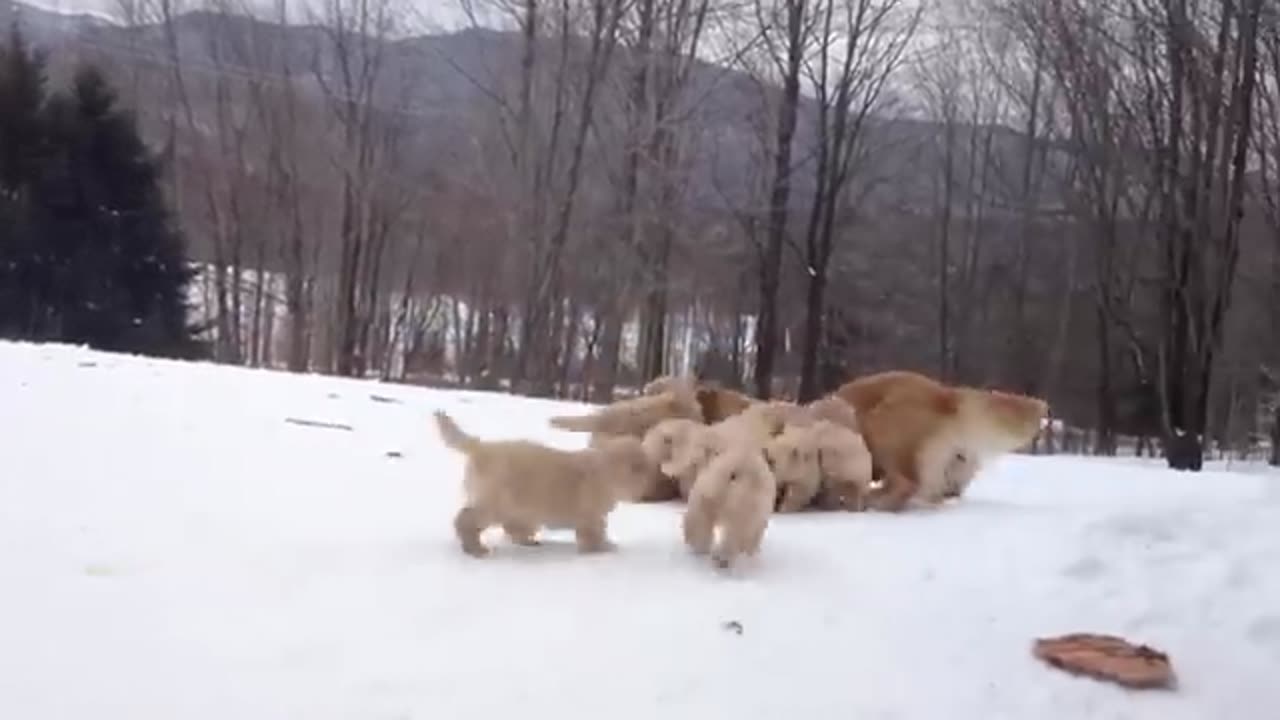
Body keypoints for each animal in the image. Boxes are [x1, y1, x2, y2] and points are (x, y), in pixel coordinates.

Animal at [440, 409, 660, 556]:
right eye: (643, 473)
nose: (646, 490)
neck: (604, 471)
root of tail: (480, 446)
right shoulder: (591, 516)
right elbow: (595, 533)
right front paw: (603, 548)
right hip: (494, 503)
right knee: (465, 520)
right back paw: (476, 549)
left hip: (517, 507)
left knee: (511, 526)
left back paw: (527, 541)